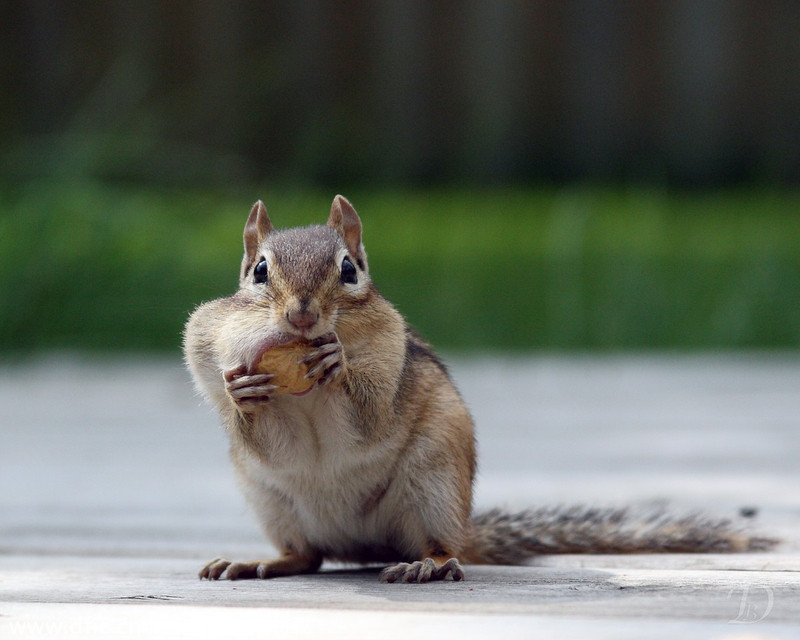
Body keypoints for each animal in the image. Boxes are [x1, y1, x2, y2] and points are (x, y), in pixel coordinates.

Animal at [183, 195, 776, 583]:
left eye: (349, 269)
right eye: (259, 272)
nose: (302, 315)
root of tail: (359, 544)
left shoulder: (393, 363)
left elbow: (367, 416)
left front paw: (339, 365)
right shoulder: (206, 344)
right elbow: (255, 427)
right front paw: (242, 394)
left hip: (436, 482)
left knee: (444, 548)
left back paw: (427, 563)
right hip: (271, 500)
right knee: (307, 555)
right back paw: (260, 561)